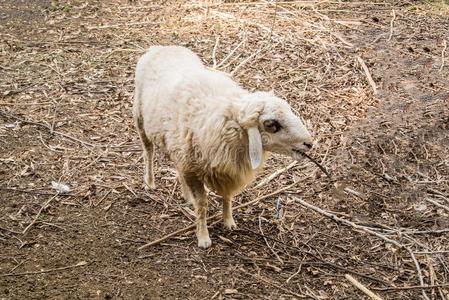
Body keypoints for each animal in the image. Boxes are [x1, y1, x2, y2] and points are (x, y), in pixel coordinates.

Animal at [133, 45, 314, 248]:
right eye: (271, 124)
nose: (309, 143)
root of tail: (161, 47)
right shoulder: (195, 169)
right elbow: (202, 205)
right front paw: (203, 237)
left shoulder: (226, 170)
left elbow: (227, 196)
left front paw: (229, 222)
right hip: (140, 119)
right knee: (148, 151)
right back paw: (149, 182)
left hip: (177, 146)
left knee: (177, 165)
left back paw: (185, 195)